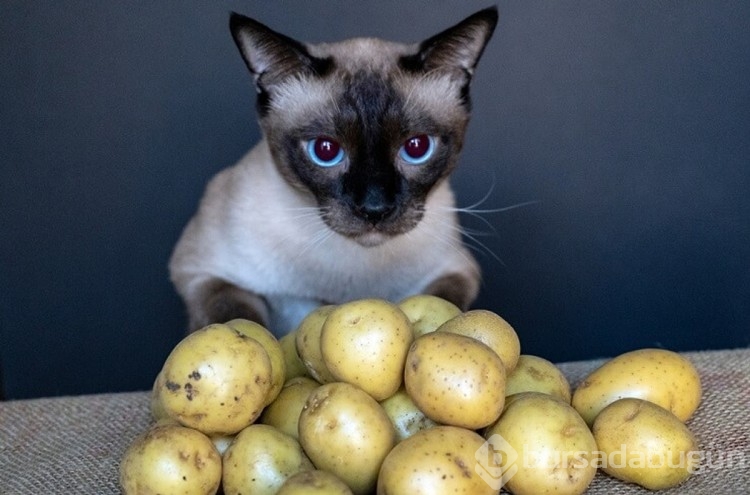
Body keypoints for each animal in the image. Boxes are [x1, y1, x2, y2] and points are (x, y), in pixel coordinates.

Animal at [170, 6, 500, 338]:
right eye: (326, 150)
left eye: (417, 147)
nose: (374, 209)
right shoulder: (200, 272)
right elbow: (234, 315)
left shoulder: (457, 270)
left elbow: (446, 302)